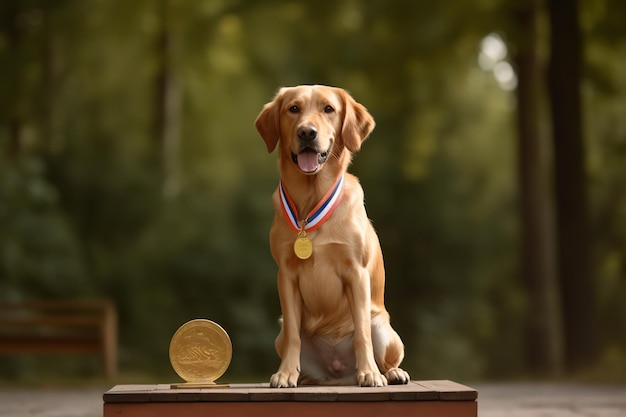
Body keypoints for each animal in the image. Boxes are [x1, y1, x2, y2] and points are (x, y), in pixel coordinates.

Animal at [254, 84, 410, 386]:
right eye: (293, 108)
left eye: (329, 109)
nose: (307, 132)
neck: (310, 203)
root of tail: (338, 373)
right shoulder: (286, 276)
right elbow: (293, 338)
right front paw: (285, 373)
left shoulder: (356, 272)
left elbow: (362, 334)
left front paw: (370, 373)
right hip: (281, 331)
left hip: (384, 329)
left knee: (384, 351)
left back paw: (390, 372)